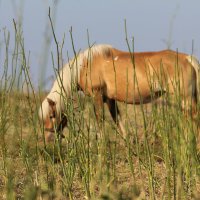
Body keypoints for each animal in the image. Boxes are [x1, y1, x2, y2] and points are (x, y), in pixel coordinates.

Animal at [38, 44, 199, 143]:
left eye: (52, 115)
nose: (48, 138)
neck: (84, 65)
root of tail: (187, 58)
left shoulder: (97, 95)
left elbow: (100, 118)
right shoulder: (109, 99)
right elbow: (117, 119)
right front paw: (127, 140)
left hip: (184, 98)